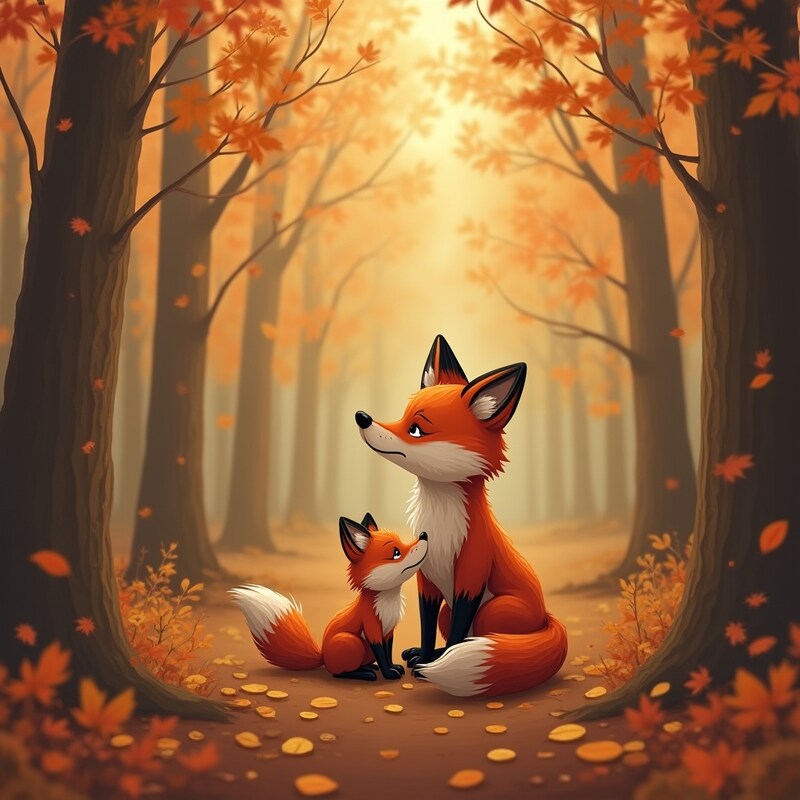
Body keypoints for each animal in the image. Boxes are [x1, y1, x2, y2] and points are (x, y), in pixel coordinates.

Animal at [229, 515, 429, 681]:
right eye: (396, 552)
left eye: (402, 542)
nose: (424, 535)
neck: (387, 602)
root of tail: (323, 656)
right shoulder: (372, 629)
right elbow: (382, 655)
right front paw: (389, 673)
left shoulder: (388, 631)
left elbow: (387, 653)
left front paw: (393, 667)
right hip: (352, 641)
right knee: (337, 673)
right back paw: (364, 674)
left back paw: (369, 667)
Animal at [354, 334, 568, 697]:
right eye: (400, 416)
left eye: (415, 429)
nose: (361, 416)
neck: (440, 526)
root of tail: (546, 617)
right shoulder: (426, 577)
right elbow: (428, 627)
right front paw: (426, 656)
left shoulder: (471, 574)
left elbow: (458, 635)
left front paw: (432, 668)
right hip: (451, 609)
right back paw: (423, 655)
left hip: (492, 612)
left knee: (476, 636)